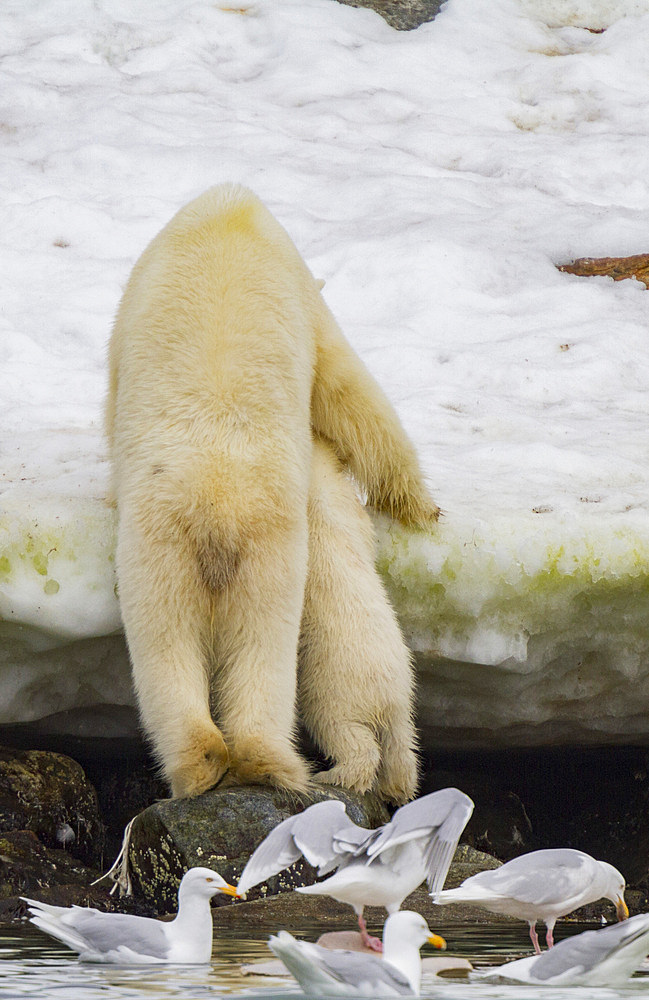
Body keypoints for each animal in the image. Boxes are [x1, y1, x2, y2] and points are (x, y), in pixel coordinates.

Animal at [106, 184, 438, 800]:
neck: (230, 219)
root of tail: (218, 507)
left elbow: (348, 390)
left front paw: (421, 507)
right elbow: (351, 390)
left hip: (194, 549)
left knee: (186, 645)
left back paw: (224, 761)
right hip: (243, 551)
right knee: (225, 645)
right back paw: (254, 761)